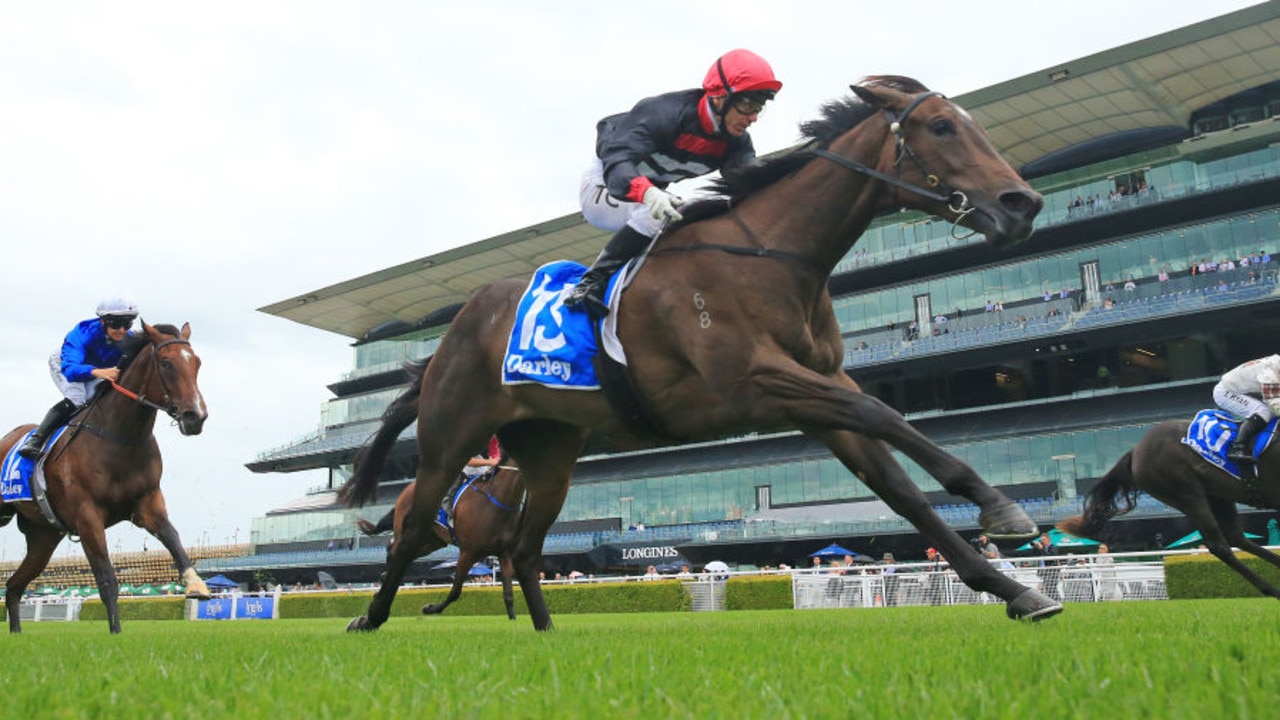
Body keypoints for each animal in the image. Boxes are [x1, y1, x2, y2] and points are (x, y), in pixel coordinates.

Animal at [1, 319, 209, 627]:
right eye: (166, 363)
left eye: (196, 362)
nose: (196, 416)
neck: (119, 437)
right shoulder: (87, 516)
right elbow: (107, 579)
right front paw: (116, 632)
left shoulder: (147, 503)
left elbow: (173, 537)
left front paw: (196, 584)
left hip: (43, 535)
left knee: (14, 587)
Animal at [340, 75, 1059, 630]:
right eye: (941, 126)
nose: (1023, 203)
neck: (771, 254)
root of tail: (452, 333)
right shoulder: (757, 382)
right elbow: (887, 417)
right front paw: (999, 505)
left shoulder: (819, 389)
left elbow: (901, 489)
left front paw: (1015, 590)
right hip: (450, 437)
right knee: (413, 531)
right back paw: (369, 617)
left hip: (549, 454)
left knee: (524, 545)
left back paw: (544, 632)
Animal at [1054, 415, 1280, 594]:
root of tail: (1135, 450)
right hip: (1188, 494)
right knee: (1220, 545)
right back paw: (1271, 590)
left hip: (1218, 496)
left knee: (1237, 538)